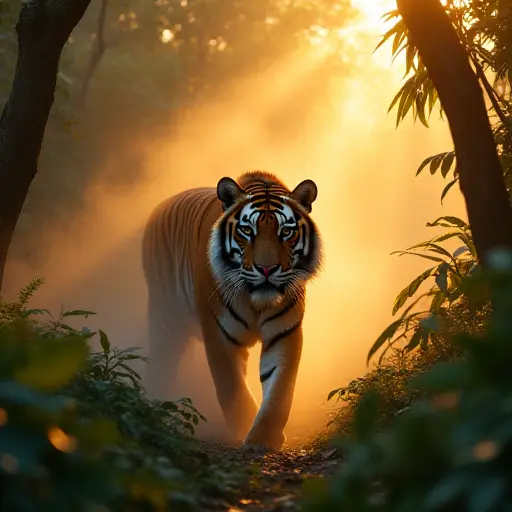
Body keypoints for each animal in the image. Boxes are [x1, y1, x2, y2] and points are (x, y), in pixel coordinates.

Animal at [142, 171, 322, 452]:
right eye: (247, 231)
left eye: (286, 232)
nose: (266, 269)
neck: (256, 301)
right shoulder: (218, 333)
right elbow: (231, 386)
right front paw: (244, 426)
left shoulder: (285, 332)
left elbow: (280, 387)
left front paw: (263, 438)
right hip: (164, 317)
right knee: (162, 362)